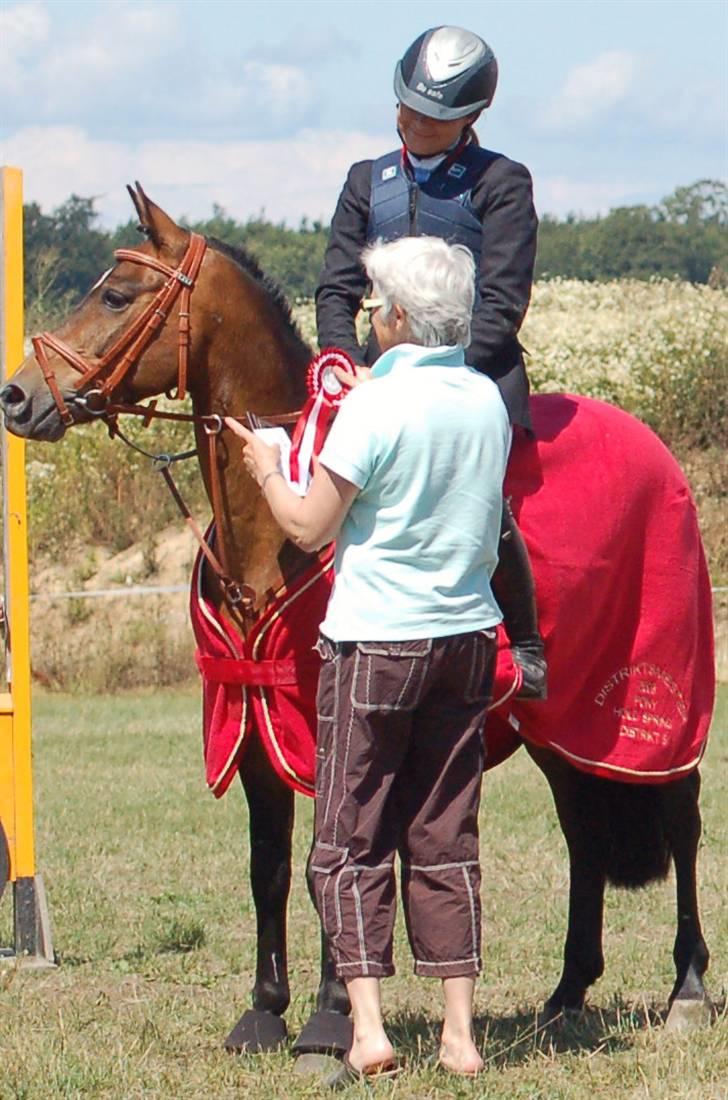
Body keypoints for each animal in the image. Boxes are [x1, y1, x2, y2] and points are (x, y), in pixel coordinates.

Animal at [0, 187, 717, 1056]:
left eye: (115, 295)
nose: (17, 396)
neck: (279, 531)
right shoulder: (256, 722)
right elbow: (270, 865)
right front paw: (265, 1008)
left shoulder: (334, 724)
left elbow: (332, 855)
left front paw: (331, 1011)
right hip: (559, 728)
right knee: (584, 832)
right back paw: (568, 991)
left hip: (653, 718)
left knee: (682, 819)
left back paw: (687, 987)